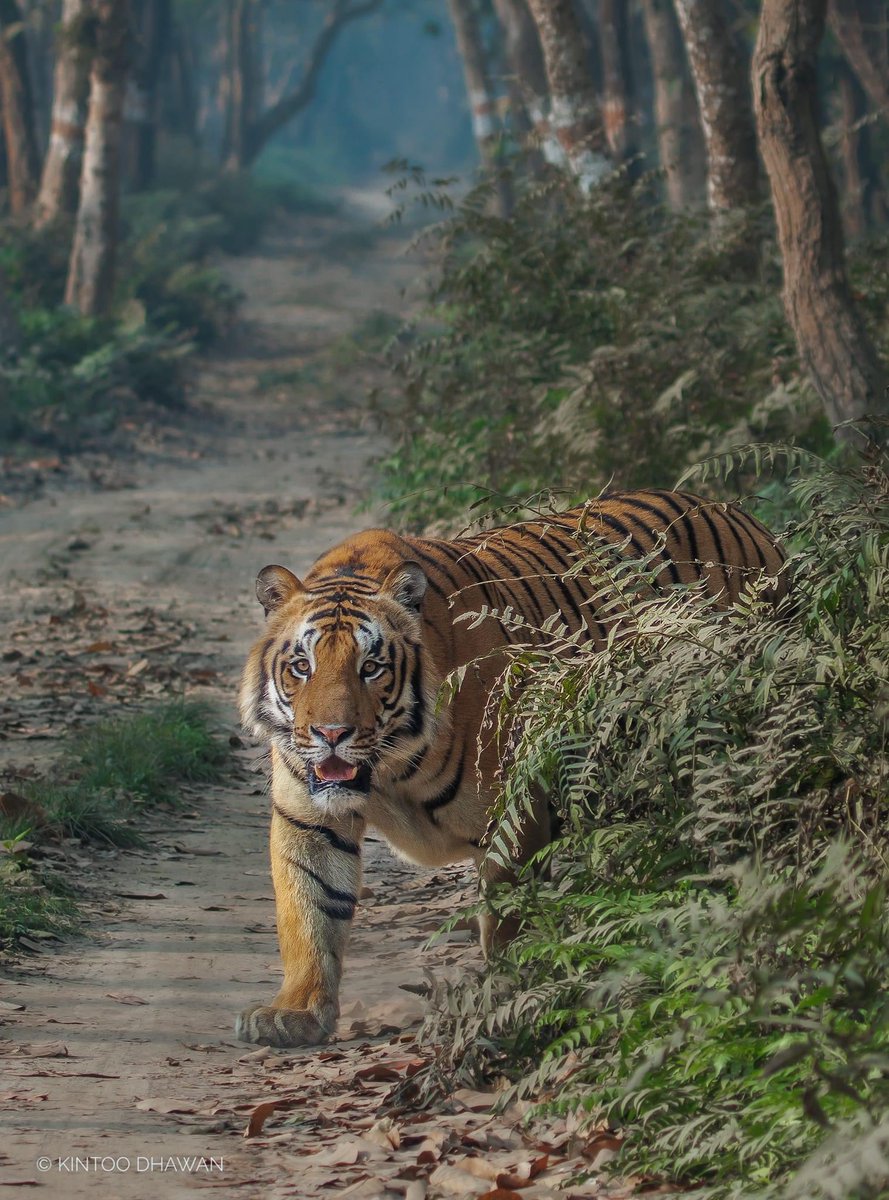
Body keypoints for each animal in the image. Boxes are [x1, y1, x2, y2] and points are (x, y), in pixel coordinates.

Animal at [236, 492, 782, 1046]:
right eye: (301, 666)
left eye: (371, 668)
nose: (331, 734)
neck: (387, 770)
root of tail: (741, 514)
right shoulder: (310, 819)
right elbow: (309, 910)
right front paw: (295, 1012)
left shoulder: (510, 812)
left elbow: (506, 919)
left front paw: (505, 998)